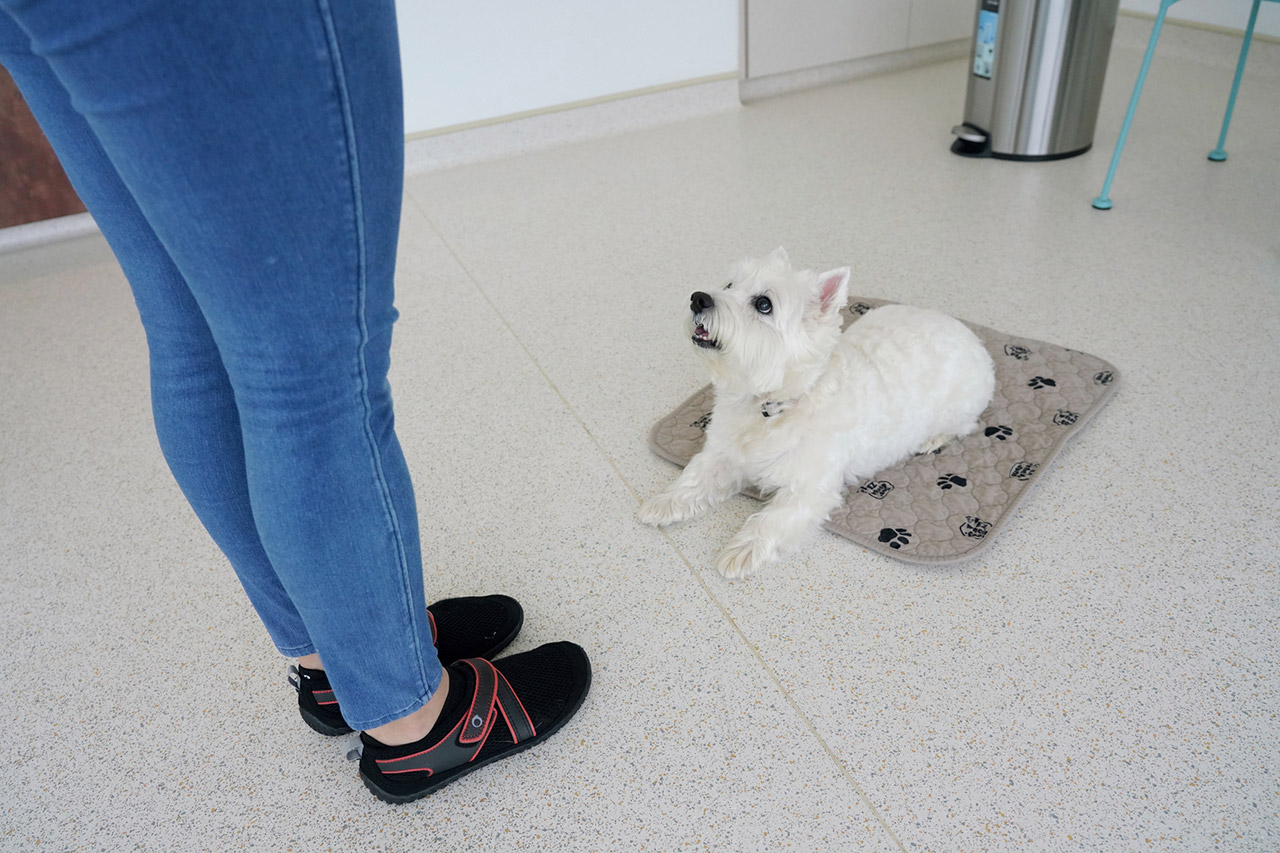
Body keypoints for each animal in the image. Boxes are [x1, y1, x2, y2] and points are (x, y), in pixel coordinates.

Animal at [640, 247, 998, 578]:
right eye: (730, 284)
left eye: (764, 304)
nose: (698, 298)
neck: (774, 405)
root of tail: (969, 334)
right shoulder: (723, 453)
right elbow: (694, 478)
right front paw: (664, 503)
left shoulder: (808, 490)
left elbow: (772, 520)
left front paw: (742, 550)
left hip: (960, 404)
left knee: (964, 425)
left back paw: (932, 440)